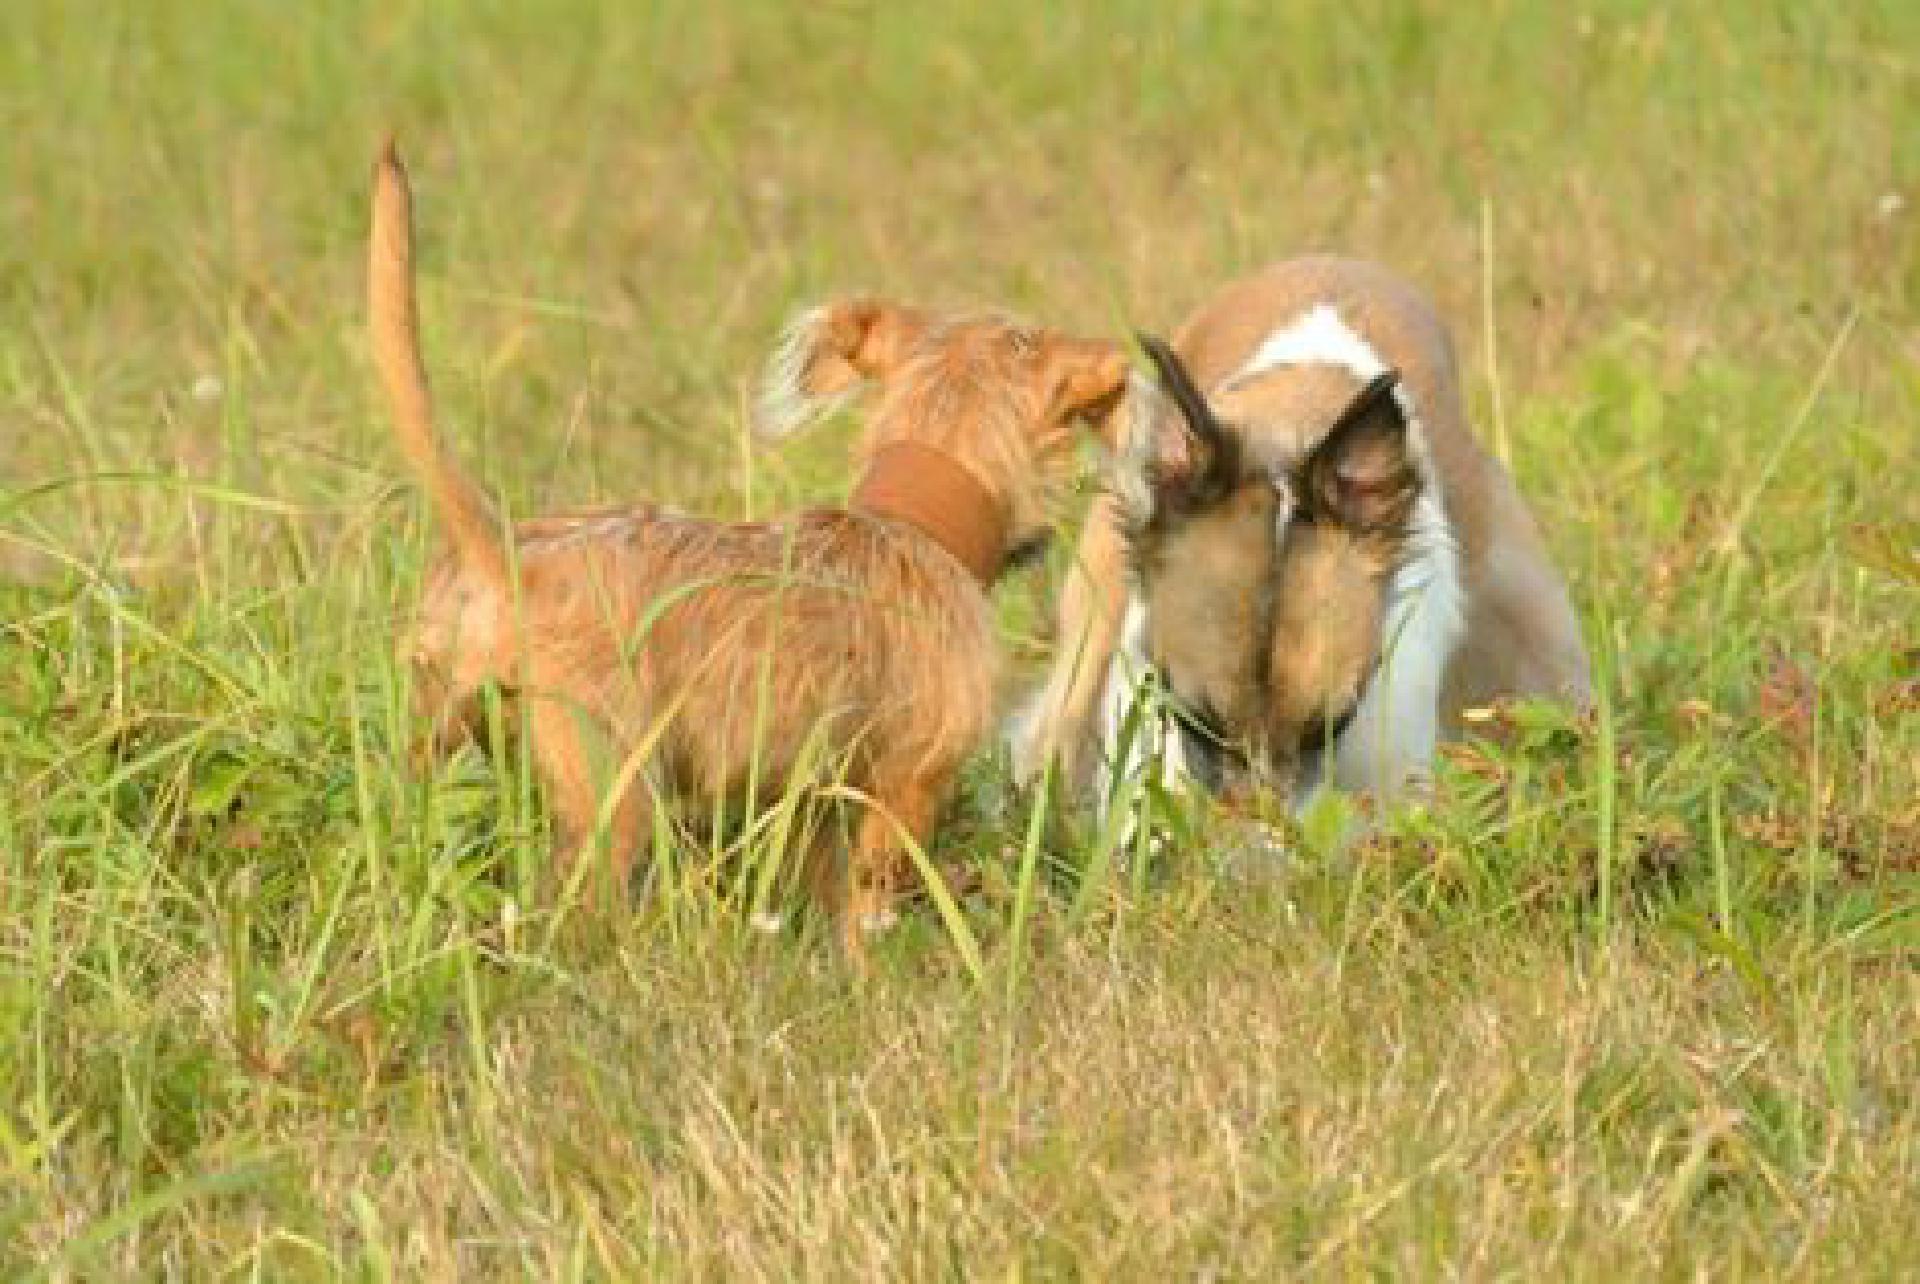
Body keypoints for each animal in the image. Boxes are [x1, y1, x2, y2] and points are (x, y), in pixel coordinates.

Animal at [366, 140, 1128, 951]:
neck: (911, 524)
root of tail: (506, 552)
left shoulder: (817, 801)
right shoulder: (907, 786)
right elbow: (872, 904)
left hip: (434, 742)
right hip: (613, 796)